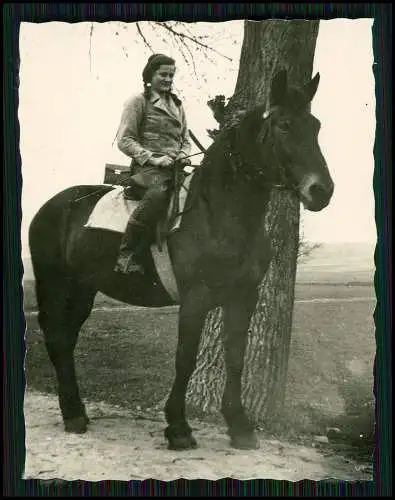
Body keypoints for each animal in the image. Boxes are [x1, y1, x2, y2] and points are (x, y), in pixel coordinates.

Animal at [29, 70, 336, 450]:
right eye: (283, 125)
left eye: (316, 126)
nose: (322, 191)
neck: (219, 213)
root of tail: (53, 204)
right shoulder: (195, 299)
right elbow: (185, 358)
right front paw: (178, 427)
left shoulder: (243, 297)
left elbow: (235, 357)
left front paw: (239, 426)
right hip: (54, 284)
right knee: (58, 338)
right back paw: (73, 414)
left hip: (83, 288)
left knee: (67, 338)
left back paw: (76, 411)